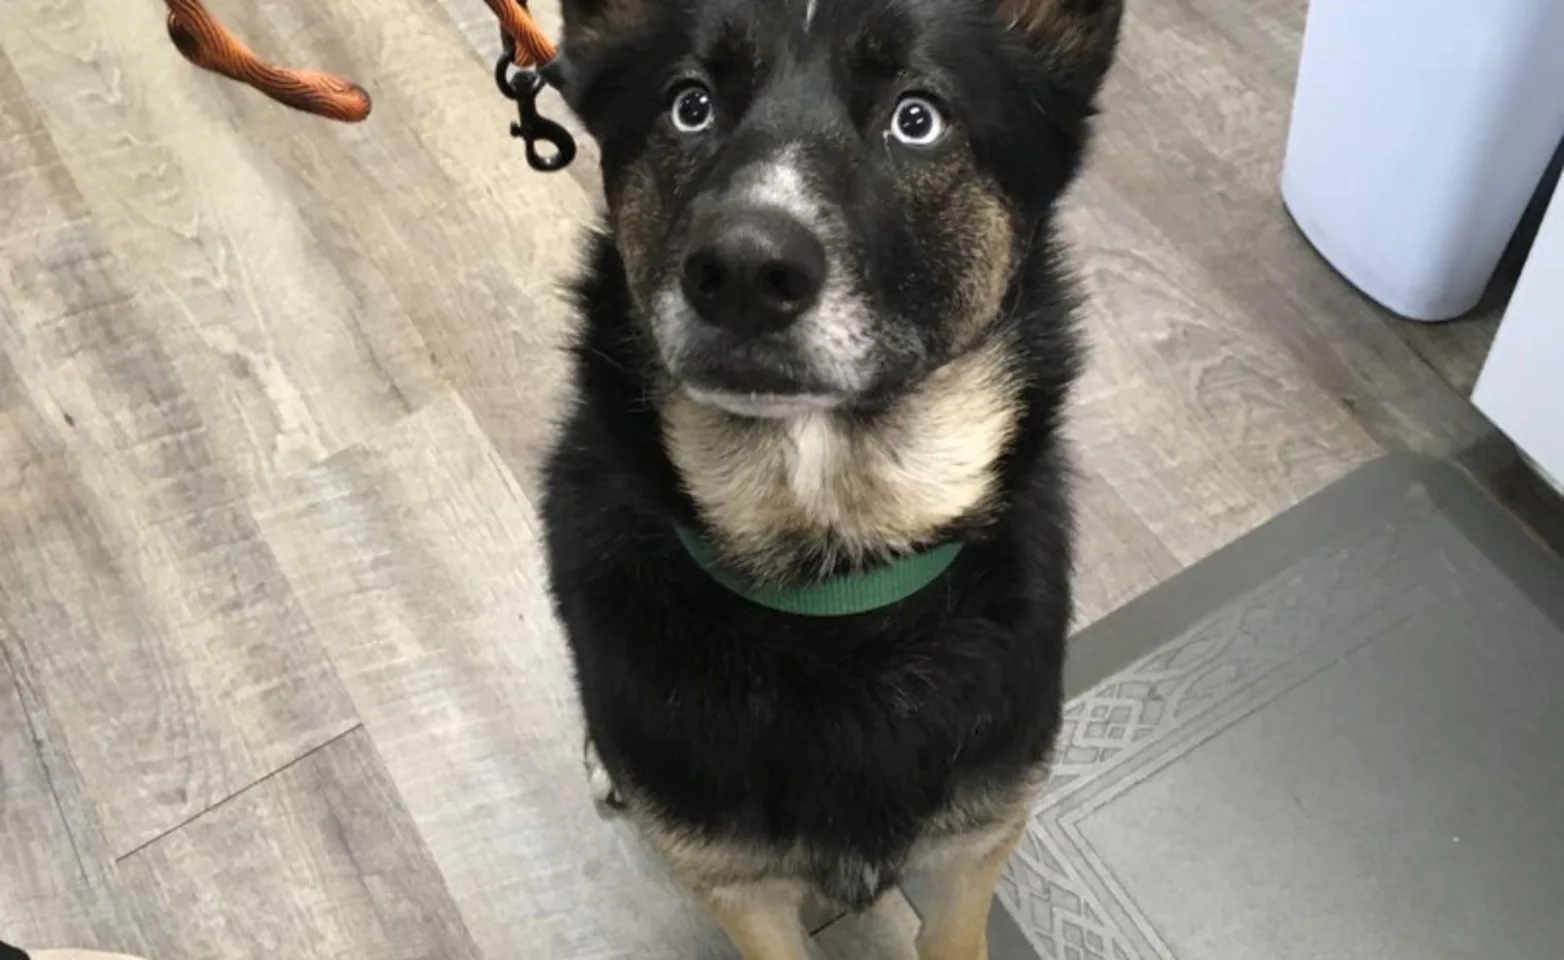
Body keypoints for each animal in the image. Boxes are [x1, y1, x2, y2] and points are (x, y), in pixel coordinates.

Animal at [544, 0, 1119, 956]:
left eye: (917, 118)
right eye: (690, 106)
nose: (743, 271)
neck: (836, 577)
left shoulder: (977, 843)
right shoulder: (740, 889)